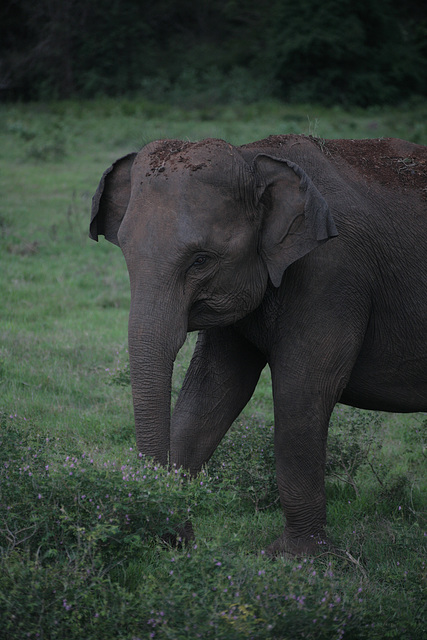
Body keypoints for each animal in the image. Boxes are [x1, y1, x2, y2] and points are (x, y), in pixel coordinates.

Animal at [90, 135, 427, 556]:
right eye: (125, 253)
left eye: (200, 261)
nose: (166, 535)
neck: (252, 156)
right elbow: (211, 390)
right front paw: (175, 540)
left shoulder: (333, 274)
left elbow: (303, 391)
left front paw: (296, 557)